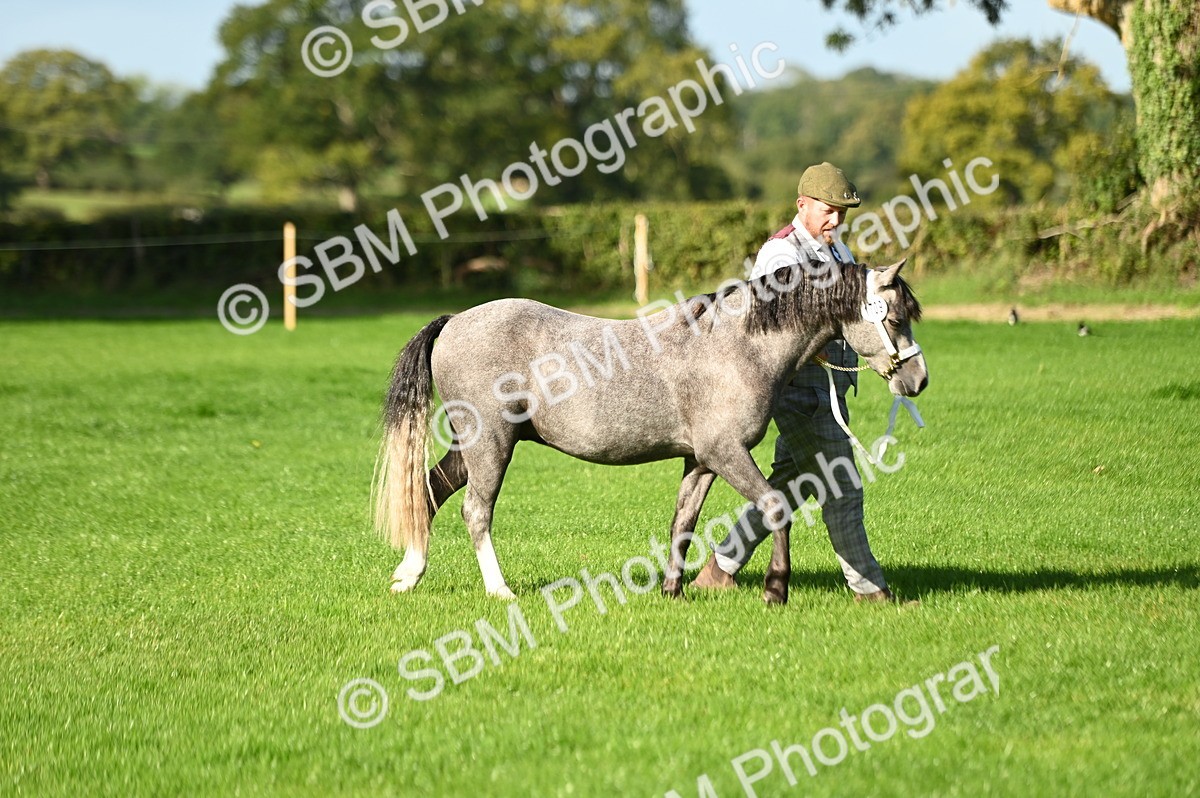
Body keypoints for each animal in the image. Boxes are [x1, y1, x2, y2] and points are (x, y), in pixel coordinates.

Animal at [374, 258, 927, 604]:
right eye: (894, 317)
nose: (917, 380)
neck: (737, 346)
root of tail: (453, 321)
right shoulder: (726, 453)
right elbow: (775, 509)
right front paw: (776, 590)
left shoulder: (701, 461)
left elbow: (683, 522)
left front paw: (672, 591)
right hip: (490, 443)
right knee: (475, 511)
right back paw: (498, 590)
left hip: (472, 446)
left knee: (429, 490)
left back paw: (408, 576)